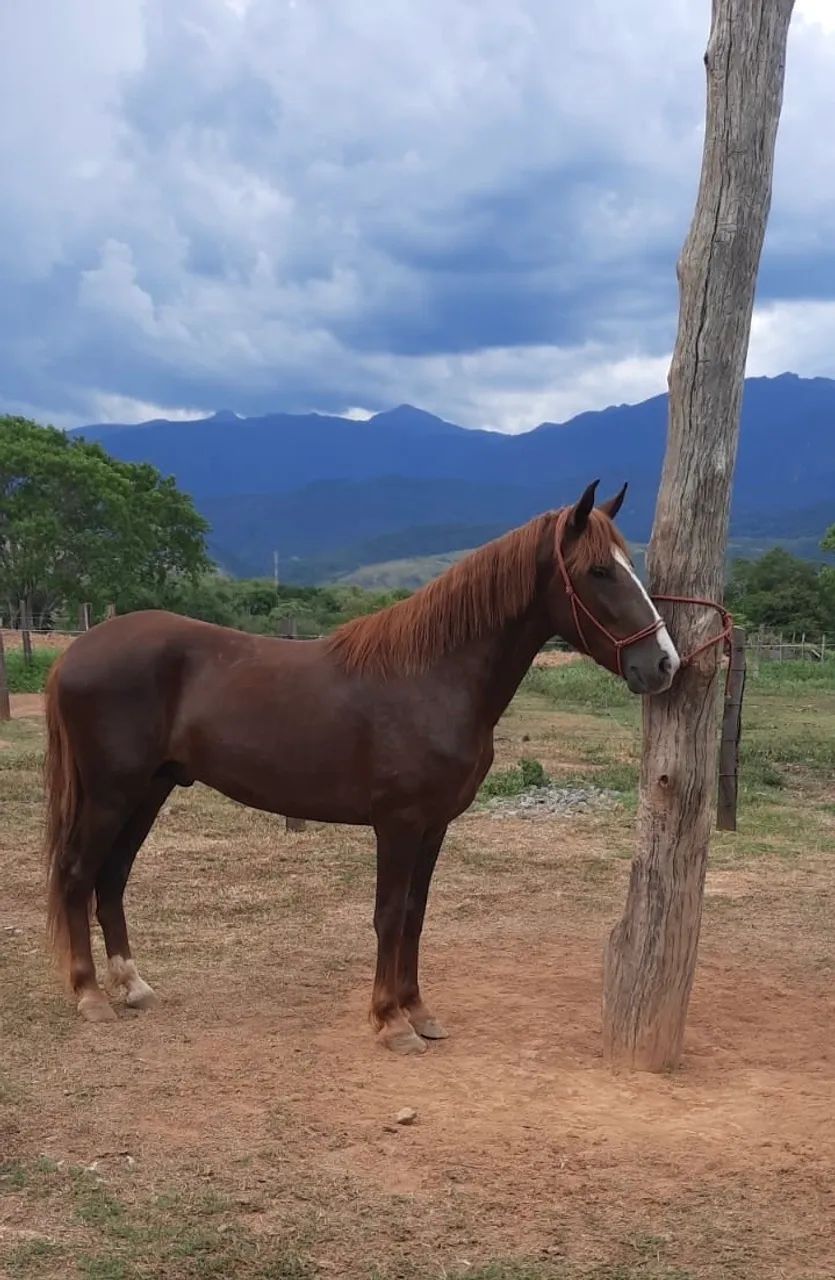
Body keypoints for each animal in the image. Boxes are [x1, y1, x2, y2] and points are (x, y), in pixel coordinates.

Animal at [43, 480, 680, 1054]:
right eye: (599, 571)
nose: (664, 664)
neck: (432, 677)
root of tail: (76, 651)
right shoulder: (397, 823)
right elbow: (388, 915)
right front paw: (390, 1022)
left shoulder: (433, 826)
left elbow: (416, 915)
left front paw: (419, 1011)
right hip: (111, 794)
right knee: (76, 874)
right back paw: (90, 996)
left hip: (149, 791)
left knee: (111, 878)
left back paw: (133, 986)